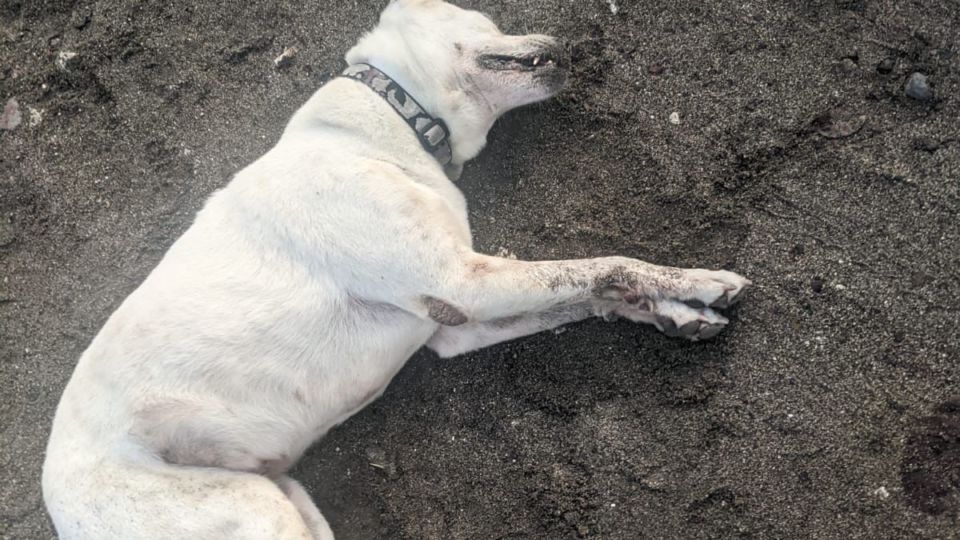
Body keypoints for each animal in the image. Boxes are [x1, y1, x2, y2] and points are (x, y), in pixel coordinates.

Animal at [43, 2, 752, 536]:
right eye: (484, 17)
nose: (565, 42)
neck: (387, 126)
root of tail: (58, 511)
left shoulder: (454, 321)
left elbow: (590, 290)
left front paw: (674, 314)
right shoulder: (465, 283)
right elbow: (606, 262)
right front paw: (697, 281)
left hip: (287, 498)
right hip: (251, 514)